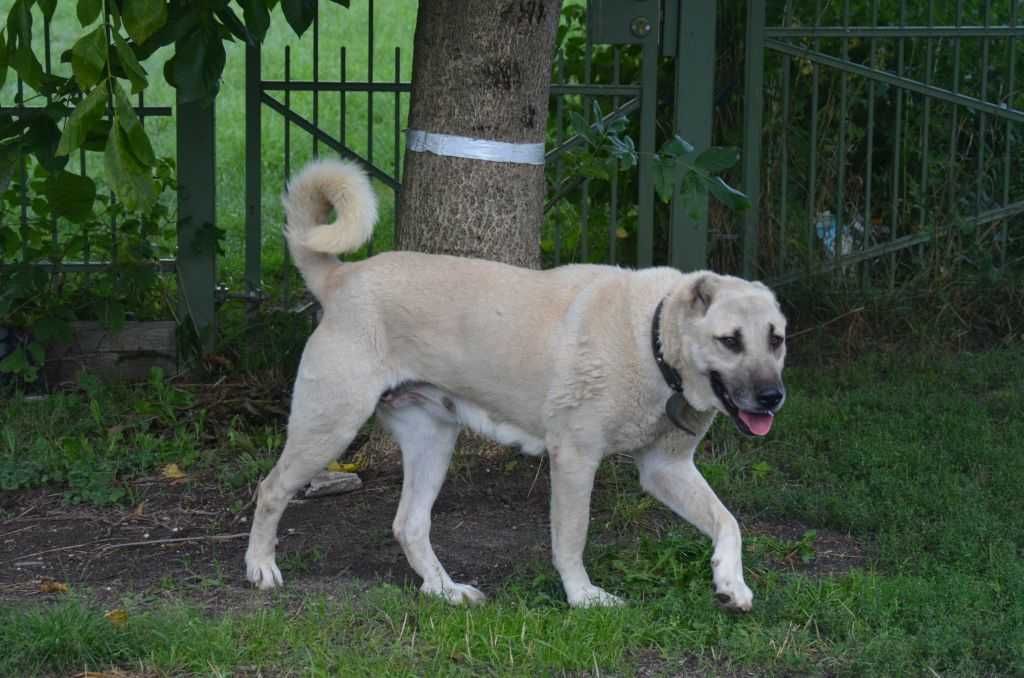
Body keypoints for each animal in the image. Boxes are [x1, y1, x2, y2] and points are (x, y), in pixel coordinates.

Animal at [243, 159, 786, 610]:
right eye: (730, 341)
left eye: (776, 339)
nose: (773, 398)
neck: (651, 339)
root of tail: (342, 277)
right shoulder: (575, 459)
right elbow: (571, 538)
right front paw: (583, 596)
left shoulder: (666, 468)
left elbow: (728, 521)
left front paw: (731, 583)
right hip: (329, 427)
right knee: (271, 489)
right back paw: (261, 567)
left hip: (431, 440)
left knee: (409, 525)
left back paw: (445, 590)